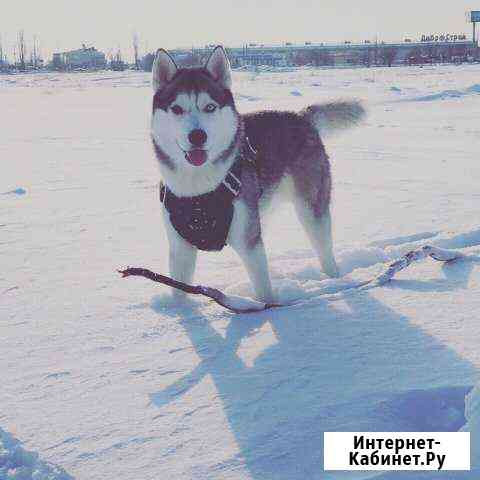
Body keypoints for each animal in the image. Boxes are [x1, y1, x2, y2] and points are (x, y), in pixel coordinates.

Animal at [152, 47, 366, 304]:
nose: (197, 135)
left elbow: (264, 292)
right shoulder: (180, 248)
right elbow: (179, 291)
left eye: (210, 107)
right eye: (176, 109)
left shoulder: (248, 241)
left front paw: (269, 308)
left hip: (311, 210)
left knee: (324, 250)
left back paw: (334, 279)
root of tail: (300, 116)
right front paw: (179, 312)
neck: (198, 193)